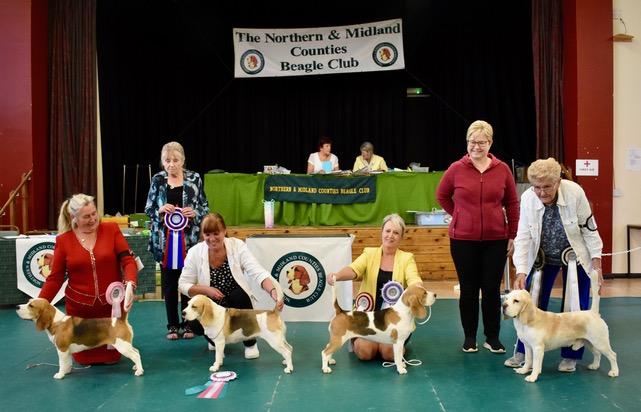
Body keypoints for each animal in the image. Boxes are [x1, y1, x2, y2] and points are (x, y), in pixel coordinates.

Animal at [16, 296, 144, 380]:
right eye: (28, 302)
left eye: (31, 305)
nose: (17, 306)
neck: (57, 322)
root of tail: (120, 320)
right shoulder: (66, 351)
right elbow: (67, 362)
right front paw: (67, 371)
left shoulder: (62, 349)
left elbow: (61, 363)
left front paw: (60, 374)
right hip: (126, 344)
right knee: (137, 351)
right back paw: (135, 366)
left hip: (122, 346)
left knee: (135, 355)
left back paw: (139, 371)